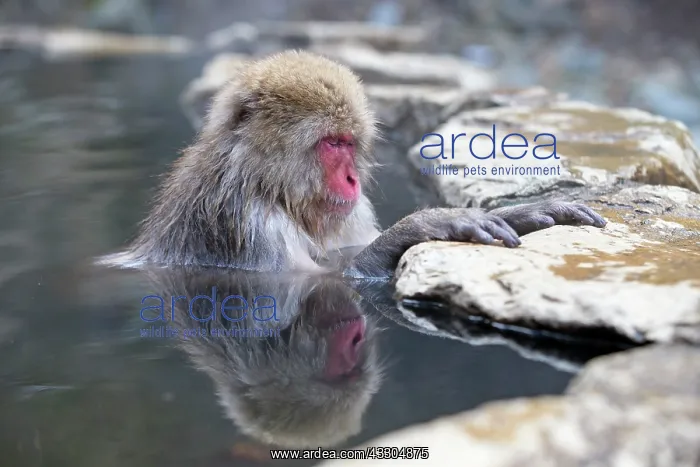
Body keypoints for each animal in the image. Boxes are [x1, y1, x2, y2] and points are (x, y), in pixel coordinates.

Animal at [101, 50, 606, 279]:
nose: (350, 179)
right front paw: (427, 225)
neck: (265, 184)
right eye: (330, 144)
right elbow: (317, 283)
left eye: (349, 143)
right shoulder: (245, 222)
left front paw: (518, 213)